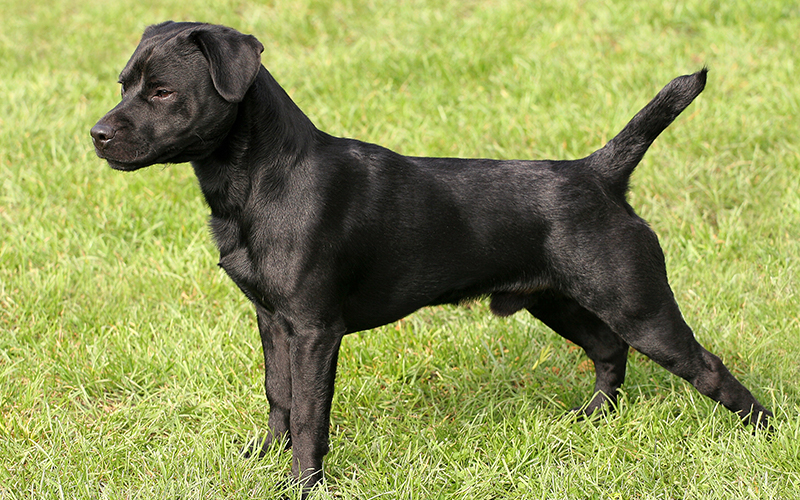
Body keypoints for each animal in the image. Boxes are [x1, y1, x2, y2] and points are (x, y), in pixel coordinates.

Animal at [90, 20, 772, 496]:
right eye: (124, 85)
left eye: (161, 92)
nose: (96, 133)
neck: (260, 179)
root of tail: (598, 173)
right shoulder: (272, 320)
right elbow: (278, 394)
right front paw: (265, 458)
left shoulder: (313, 329)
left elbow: (310, 412)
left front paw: (302, 484)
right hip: (556, 301)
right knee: (608, 350)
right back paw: (590, 421)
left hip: (639, 305)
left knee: (708, 368)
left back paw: (764, 432)